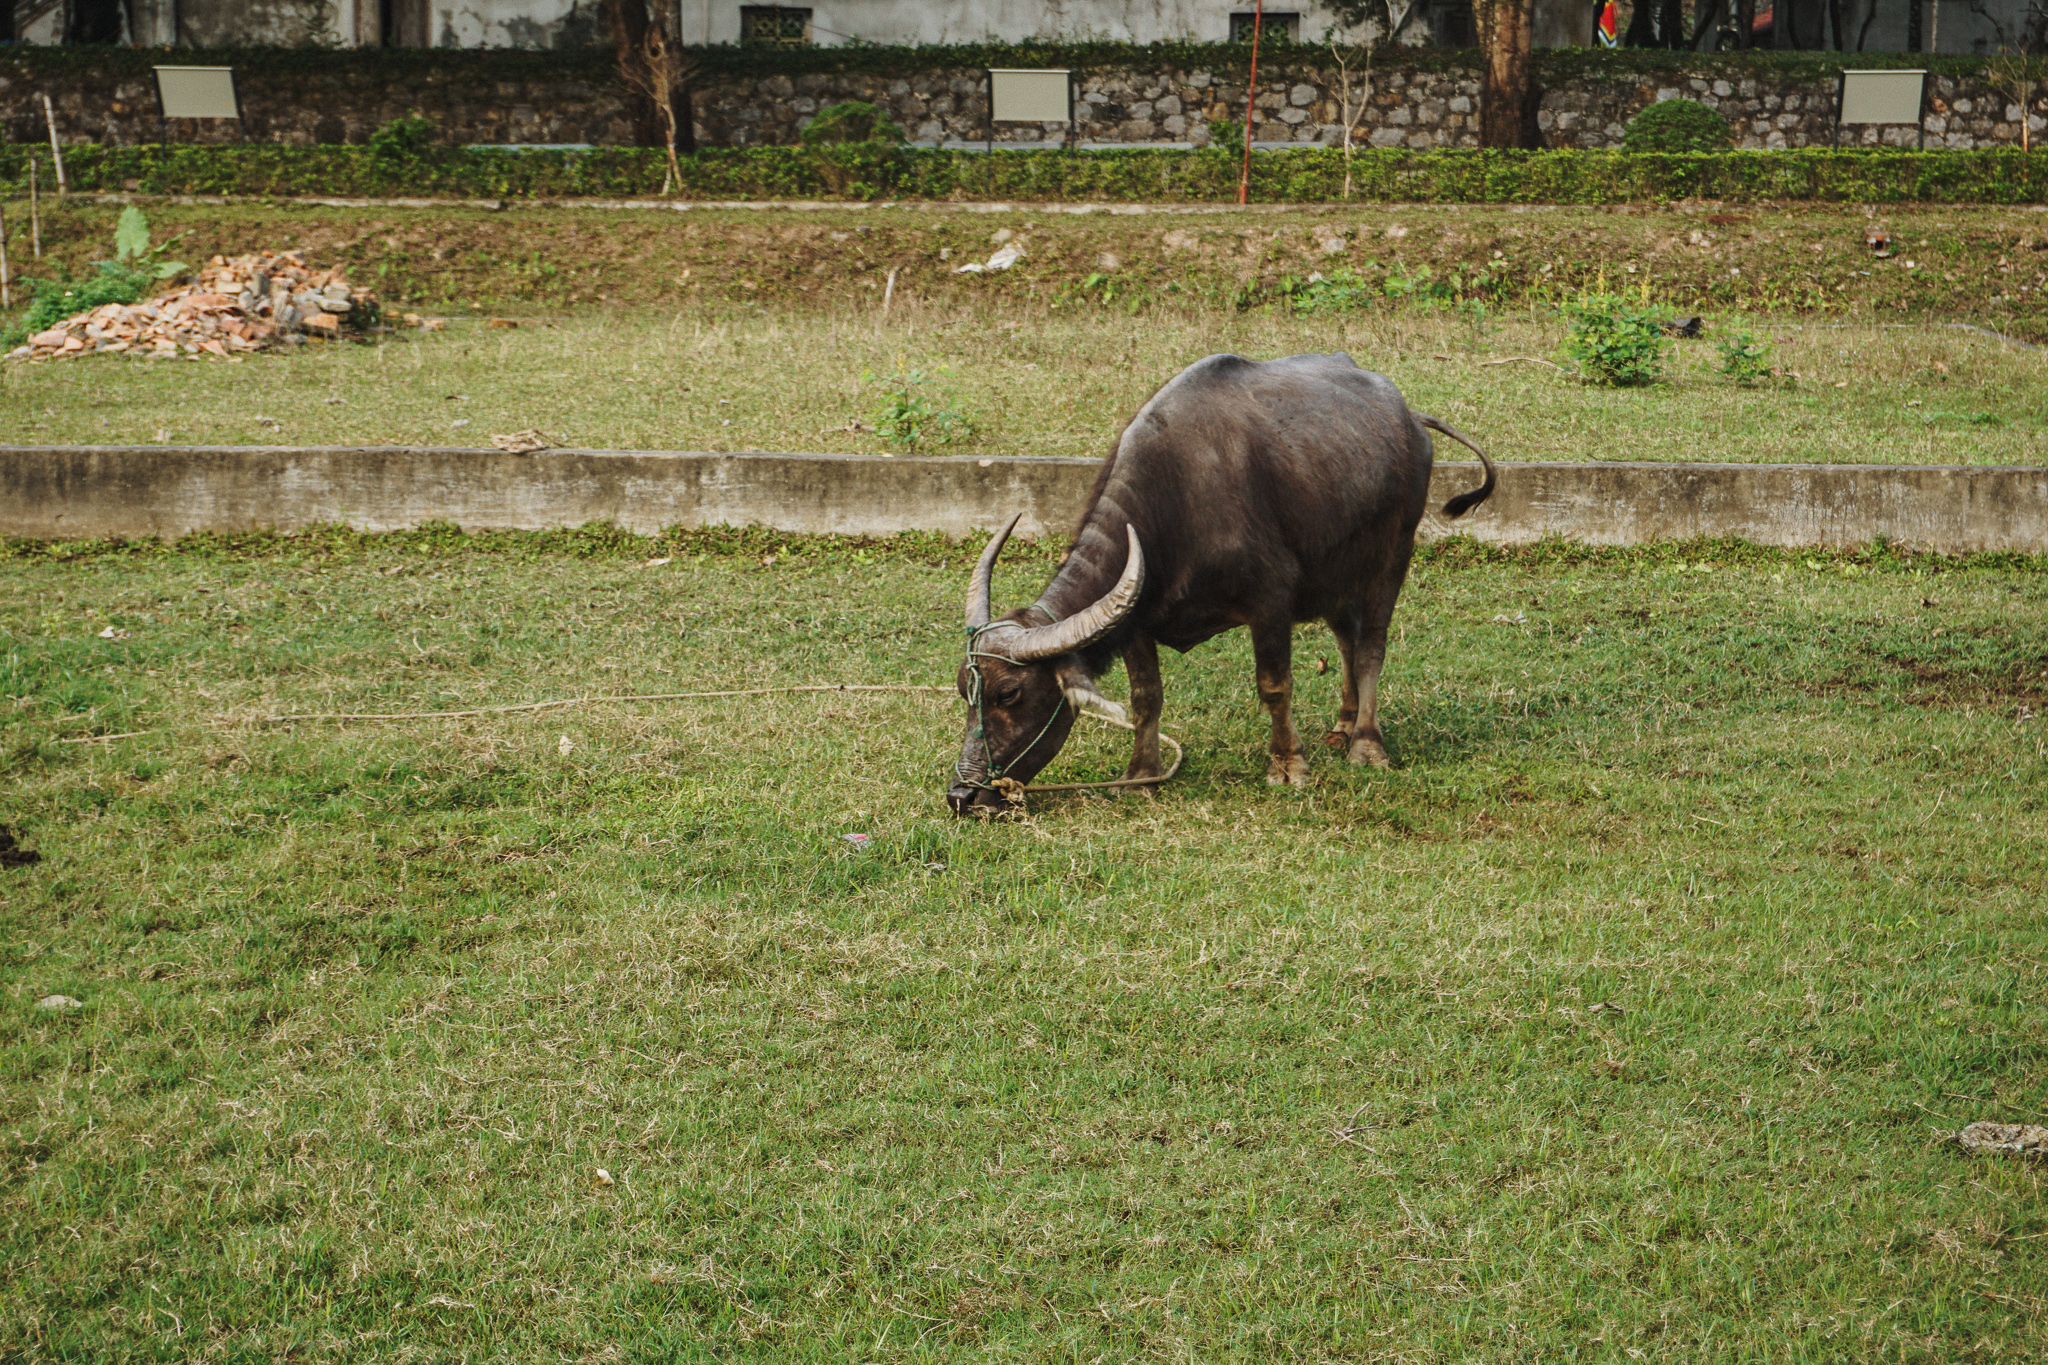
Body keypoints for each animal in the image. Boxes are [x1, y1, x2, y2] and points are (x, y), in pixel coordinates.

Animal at [946, 351, 1495, 817]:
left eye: (1010, 694)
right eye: (963, 689)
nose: (962, 795)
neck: (1176, 500)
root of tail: (1410, 417)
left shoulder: (1270, 601)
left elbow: (1275, 685)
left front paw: (1288, 766)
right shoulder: (1137, 619)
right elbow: (1147, 696)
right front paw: (1140, 775)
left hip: (1392, 556)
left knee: (1371, 648)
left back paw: (1366, 743)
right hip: (1334, 573)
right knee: (1346, 637)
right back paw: (1341, 725)